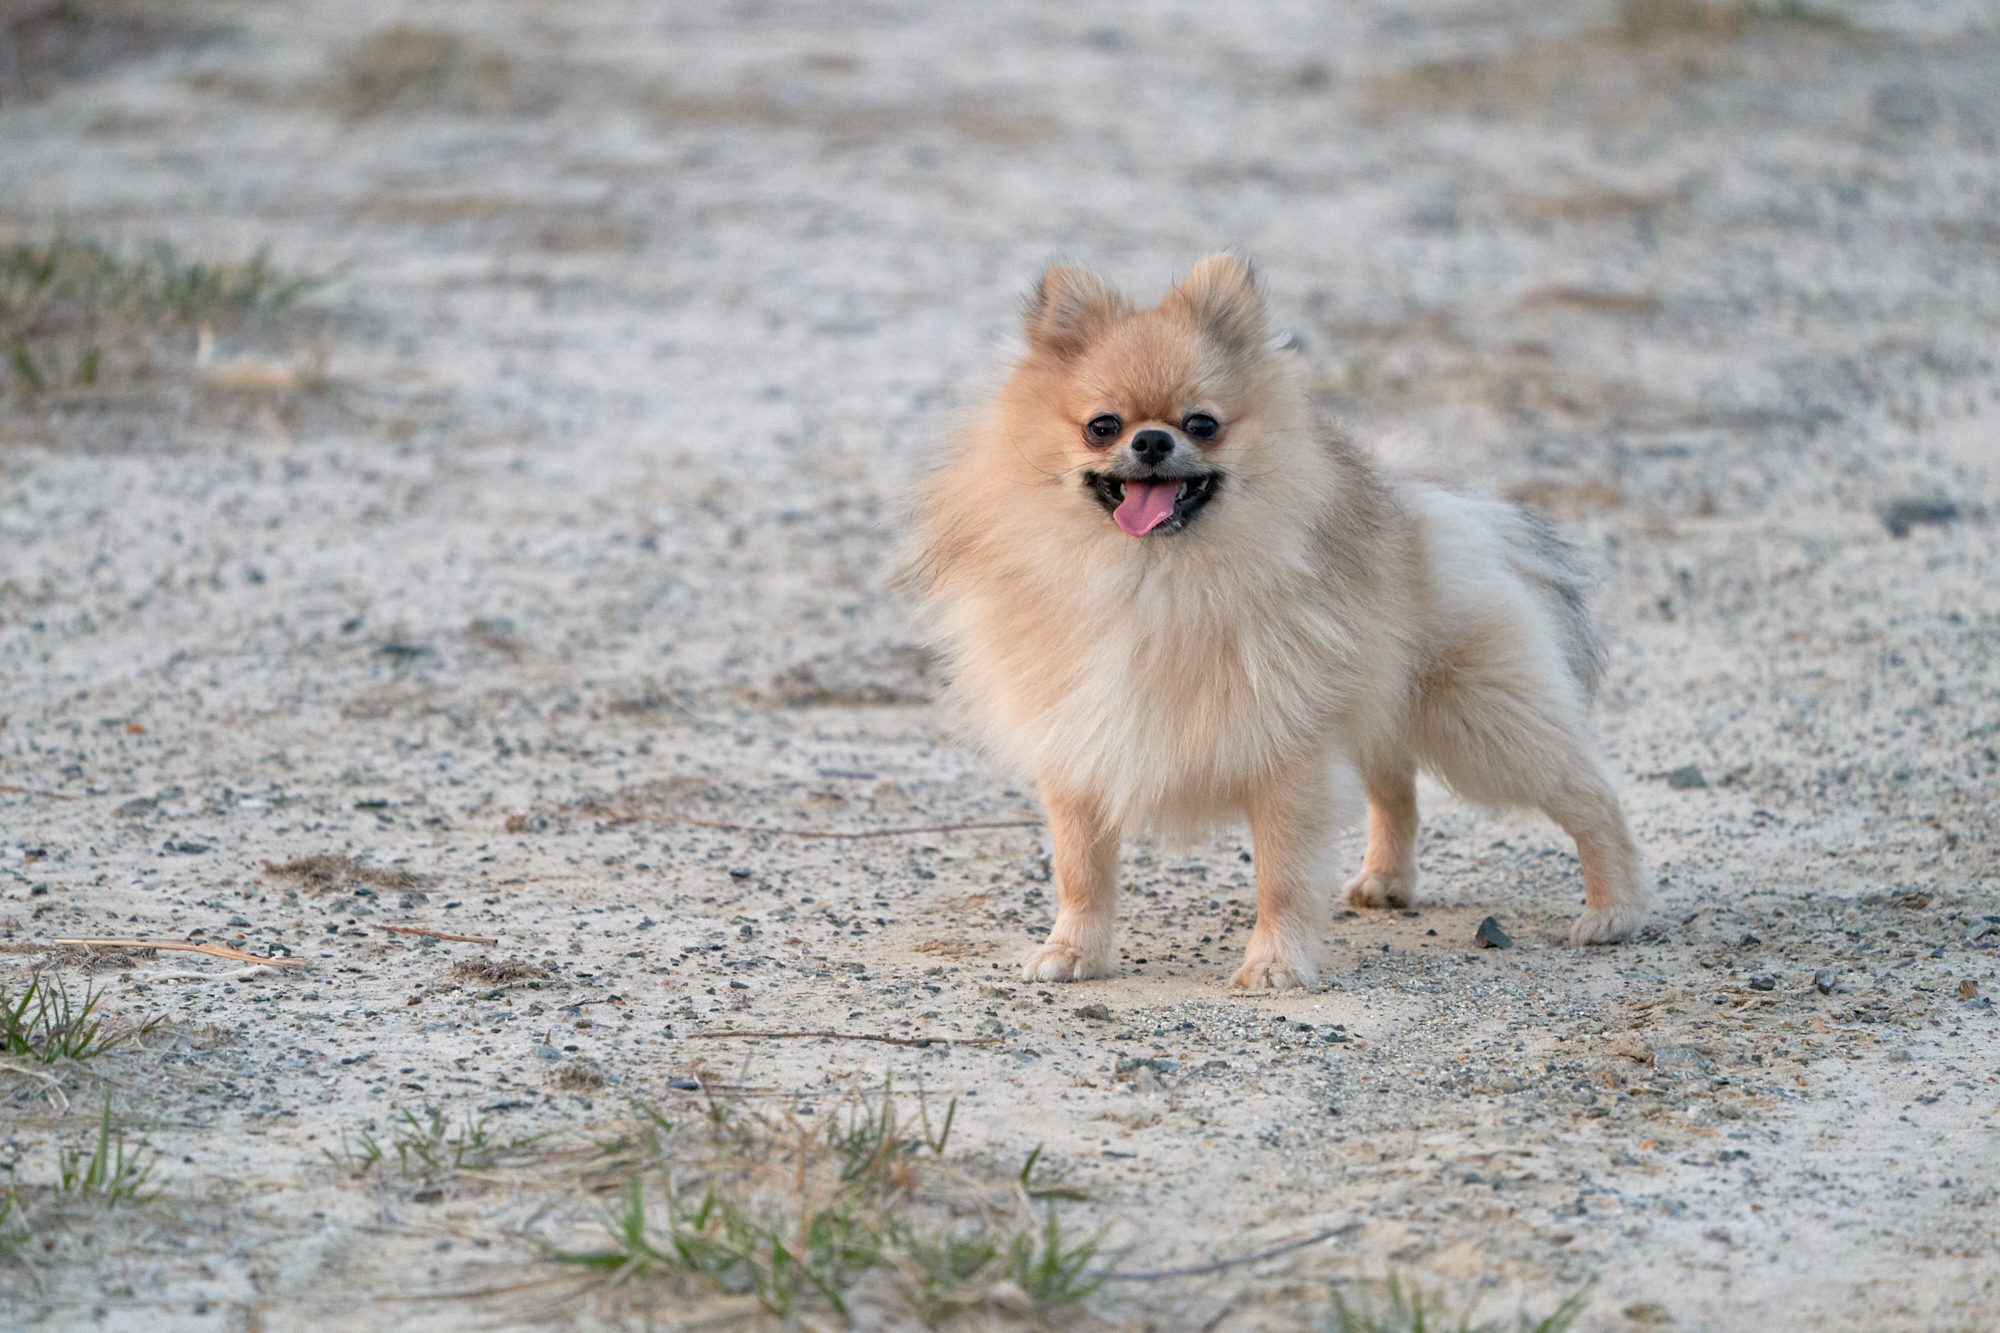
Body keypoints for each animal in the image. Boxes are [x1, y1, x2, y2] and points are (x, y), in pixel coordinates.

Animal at [907, 255, 1651, 990]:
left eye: (1202, 424)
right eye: (1102, 425)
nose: (1151, 439)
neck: (1151, 578)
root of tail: (1431, 506)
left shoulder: (1287, 752)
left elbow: (1283, 877)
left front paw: (1275, 962)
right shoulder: (1078, 743)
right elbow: (1081, 870)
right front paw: (1073, 950)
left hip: (1485, 724)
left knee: (1590, 794)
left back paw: (1614, 910)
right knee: (1396, 786)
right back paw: (1388, 880)